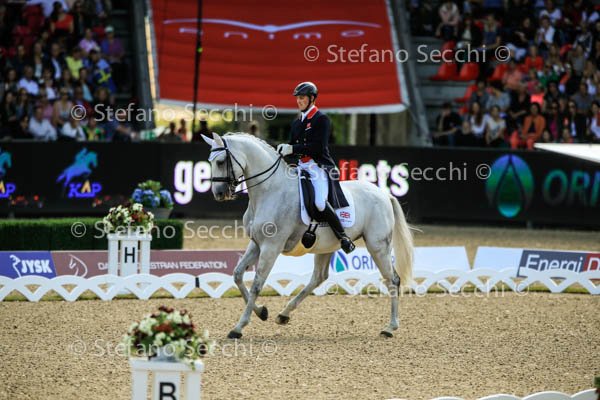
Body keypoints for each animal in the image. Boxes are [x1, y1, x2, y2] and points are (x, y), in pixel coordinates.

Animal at [202, 132, 413, 339]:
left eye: (220, 161)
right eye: (211, 161)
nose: (219, 193)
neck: (270, 191)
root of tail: (384, 194)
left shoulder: (271, 246)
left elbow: (256, 284)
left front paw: (238, 327)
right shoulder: (256, 243)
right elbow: (237, 274)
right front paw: (262, 312)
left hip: (378, 246)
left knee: (392, 280)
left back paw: (390, 327)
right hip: (327, 246)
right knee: (319, 277)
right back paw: (284, 314)